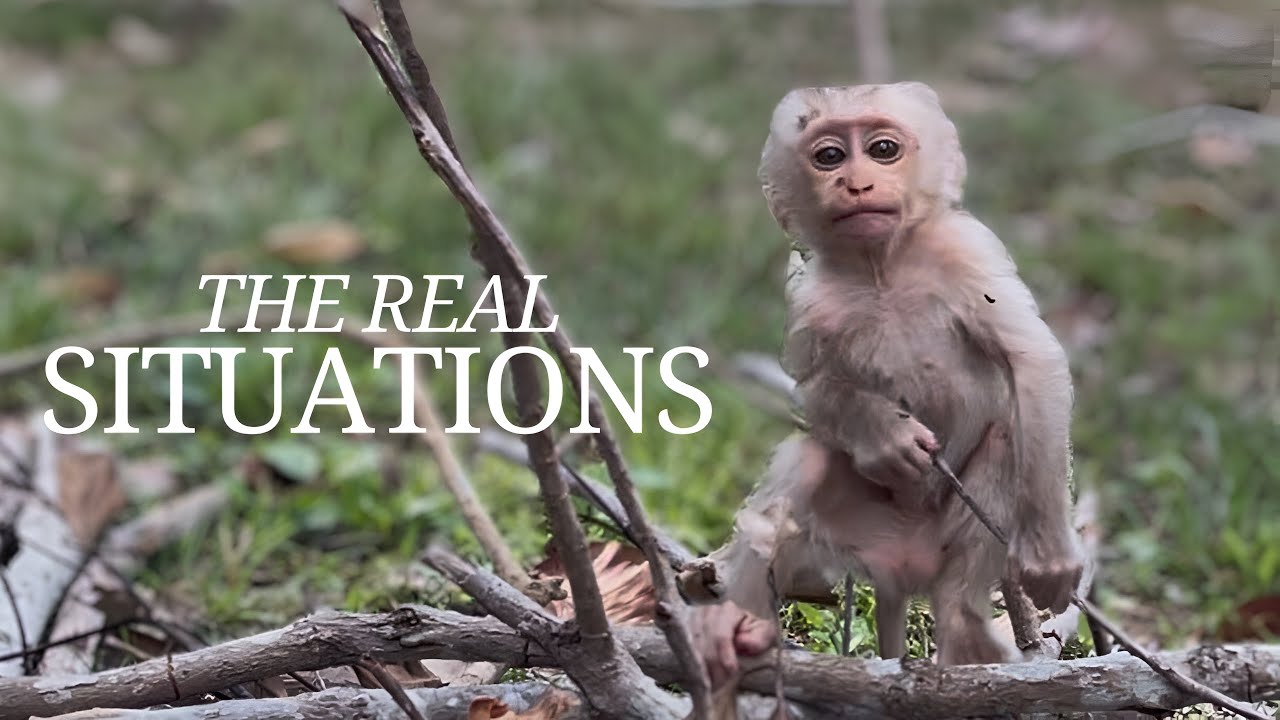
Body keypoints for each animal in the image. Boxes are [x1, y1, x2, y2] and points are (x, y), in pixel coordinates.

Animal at [689, 82, 1084, 681]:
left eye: (882, 150)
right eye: (829, 156)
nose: (856, 183)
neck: (882, 268)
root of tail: (902, 569)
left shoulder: (967, 248)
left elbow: (1032, 360)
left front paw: (1048, 557)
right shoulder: (811, 293)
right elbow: (815, 387)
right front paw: (886, 435)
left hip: (946, 541)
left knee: (1004, 448)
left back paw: (966, 631)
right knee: (805, 465)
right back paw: (740, 622)